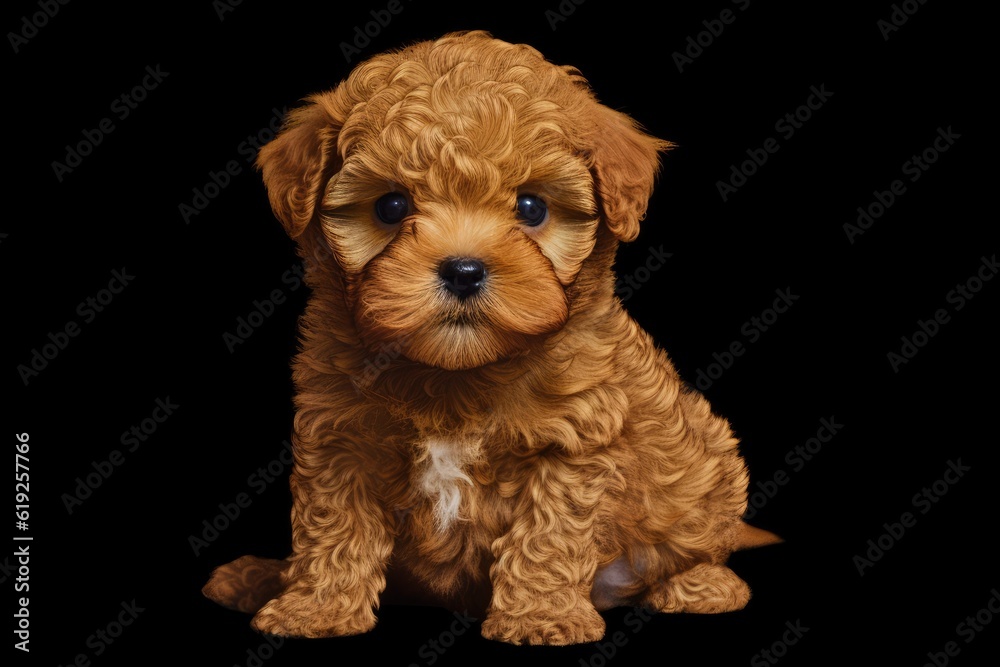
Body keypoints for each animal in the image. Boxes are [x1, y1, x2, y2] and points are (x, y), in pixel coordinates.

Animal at [203, 31, 776, 648]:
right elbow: (333, 528)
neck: (455, 376)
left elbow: (548, 535)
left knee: (694, 538)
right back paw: (258, 577)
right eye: (391, 206)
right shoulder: (339, 439)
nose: (463, 270)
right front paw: (314, 608)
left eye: (531, 207)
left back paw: (700, 584)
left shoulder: (571, 442)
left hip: (706, 468)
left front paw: (541, 617)